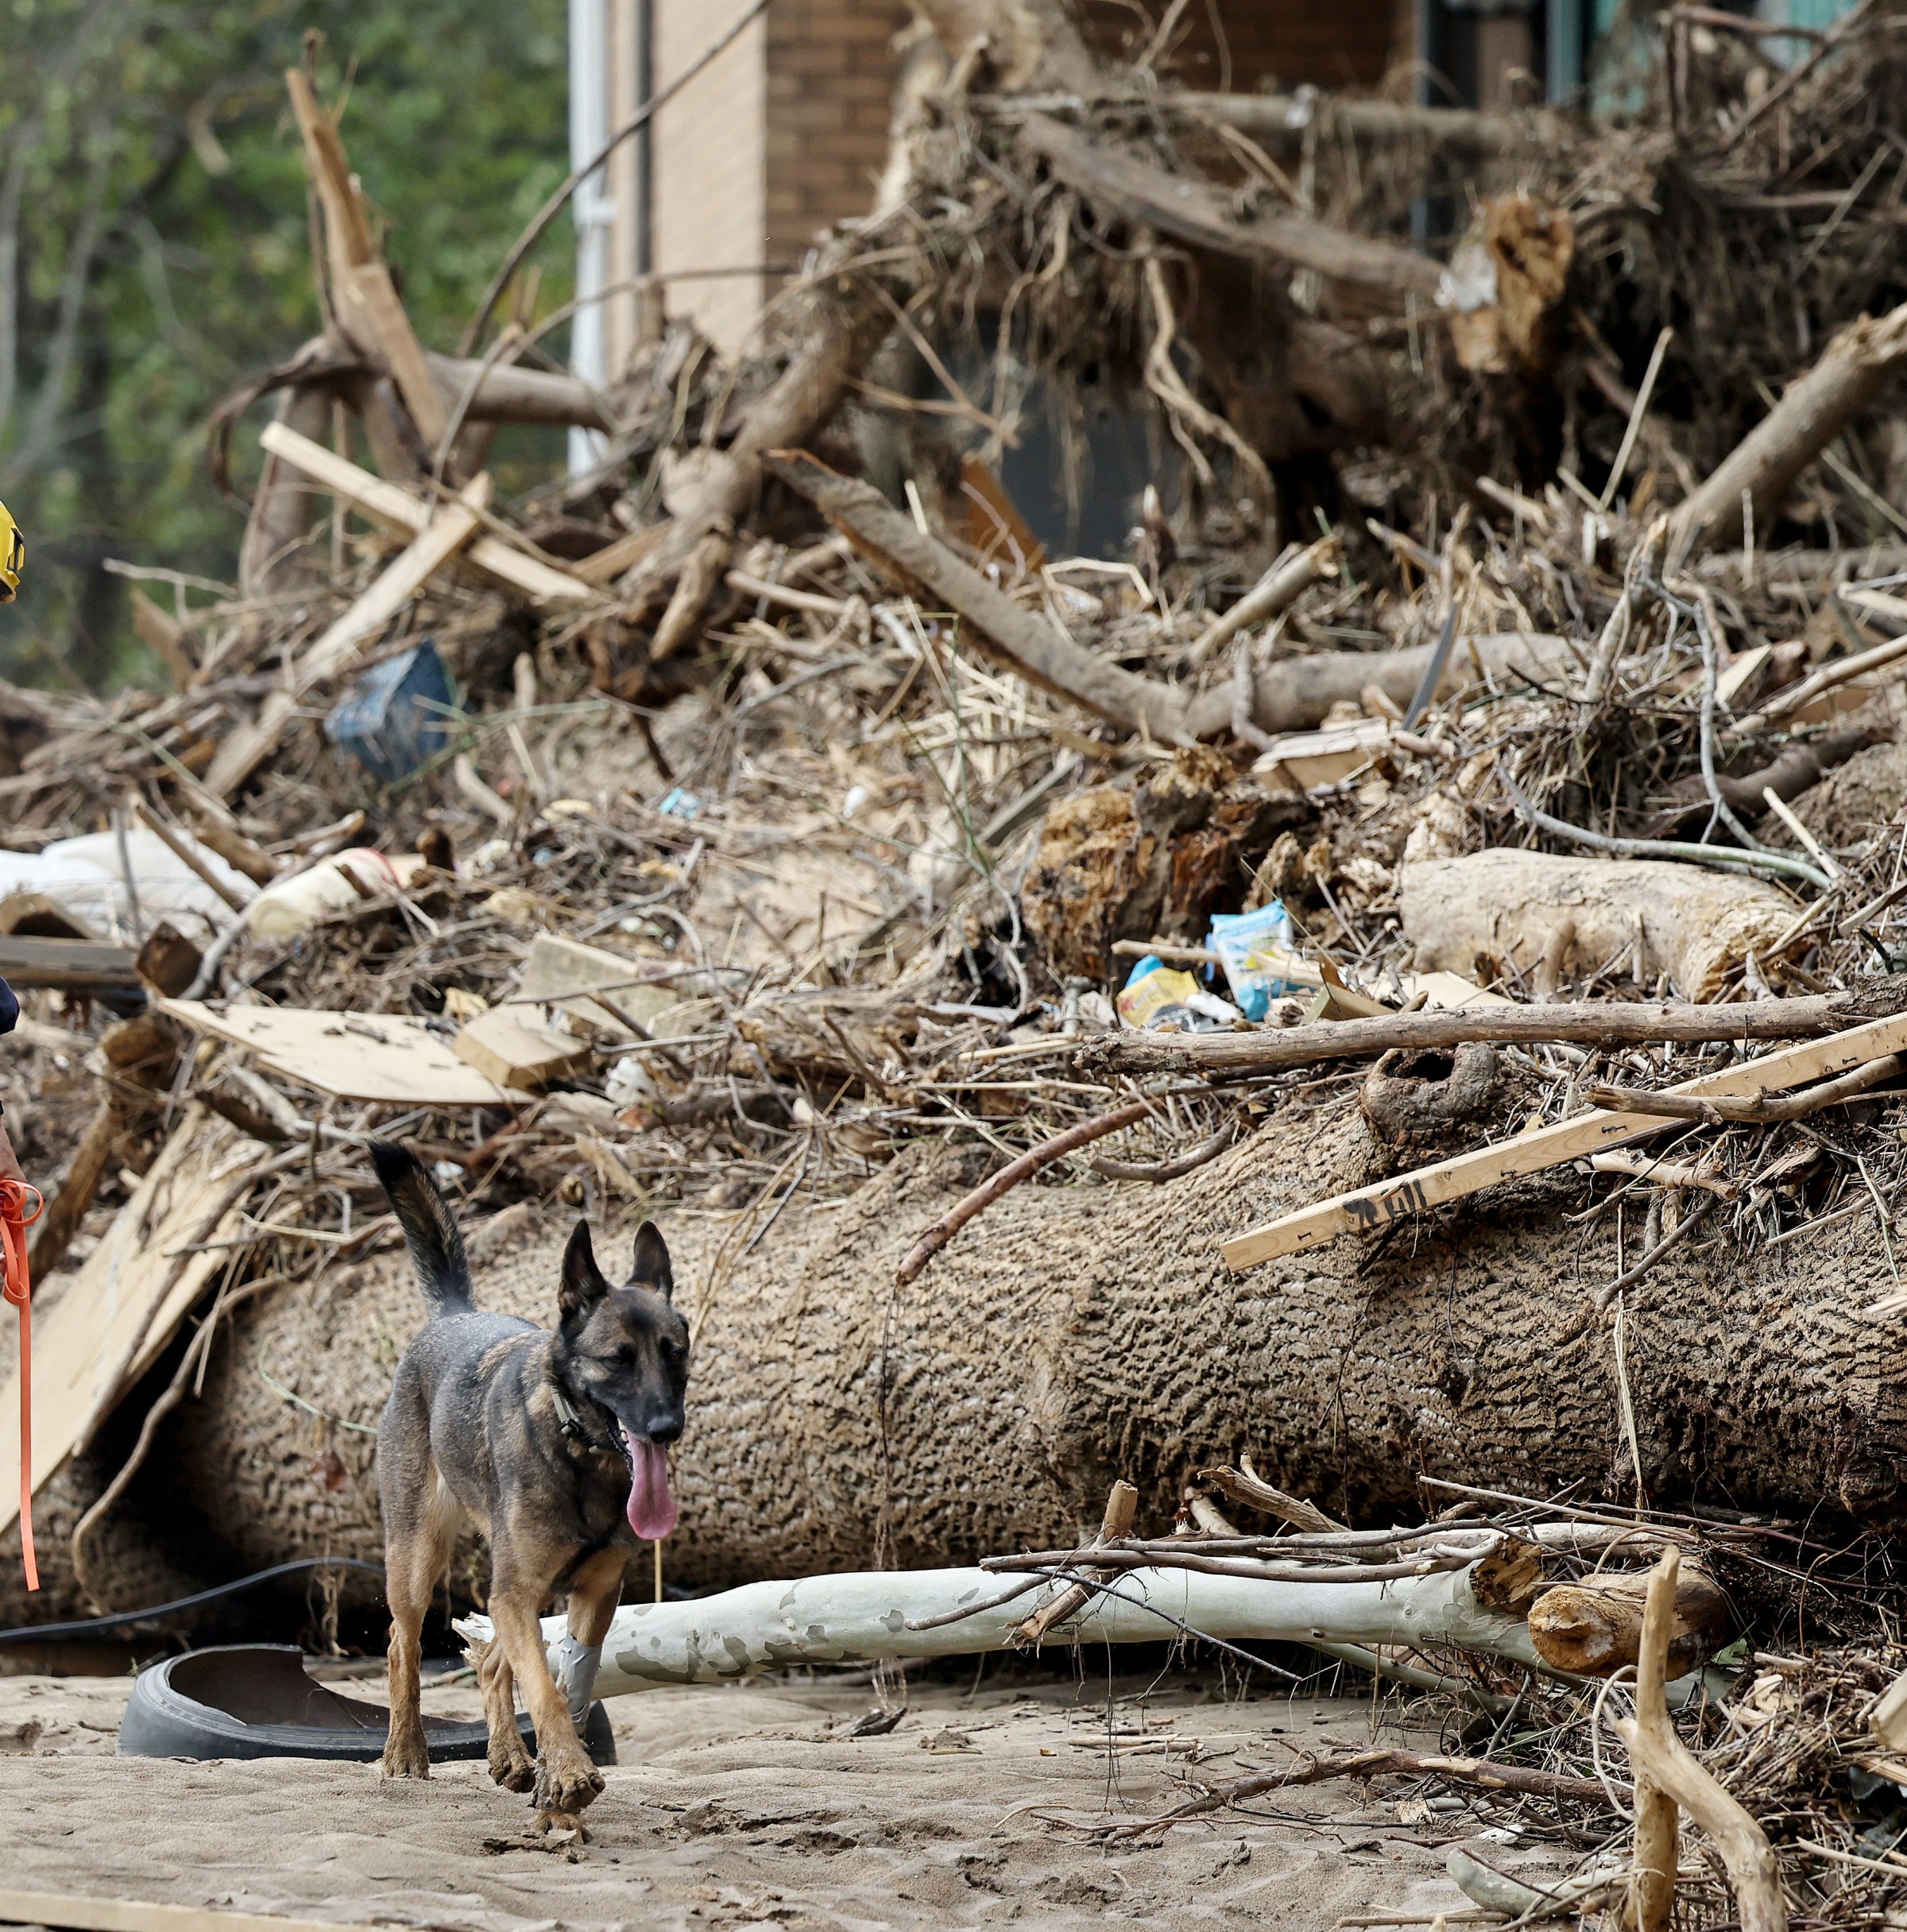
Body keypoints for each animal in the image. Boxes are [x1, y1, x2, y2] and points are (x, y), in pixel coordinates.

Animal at [369, 1136, 687, 1816]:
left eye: (677, 1354)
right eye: (618, 1360)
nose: (666, 1428)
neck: (581, 1456)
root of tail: (455, 1315)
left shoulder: (593, 1594)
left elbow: (567, 1680)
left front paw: (553, 1766)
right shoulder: (514, 1593)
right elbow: (542, 1687)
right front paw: (567, 1772)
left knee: (491, 1661)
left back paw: (511, 1759)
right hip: (417, 1556)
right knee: (403, 1646)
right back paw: (406, 1752)